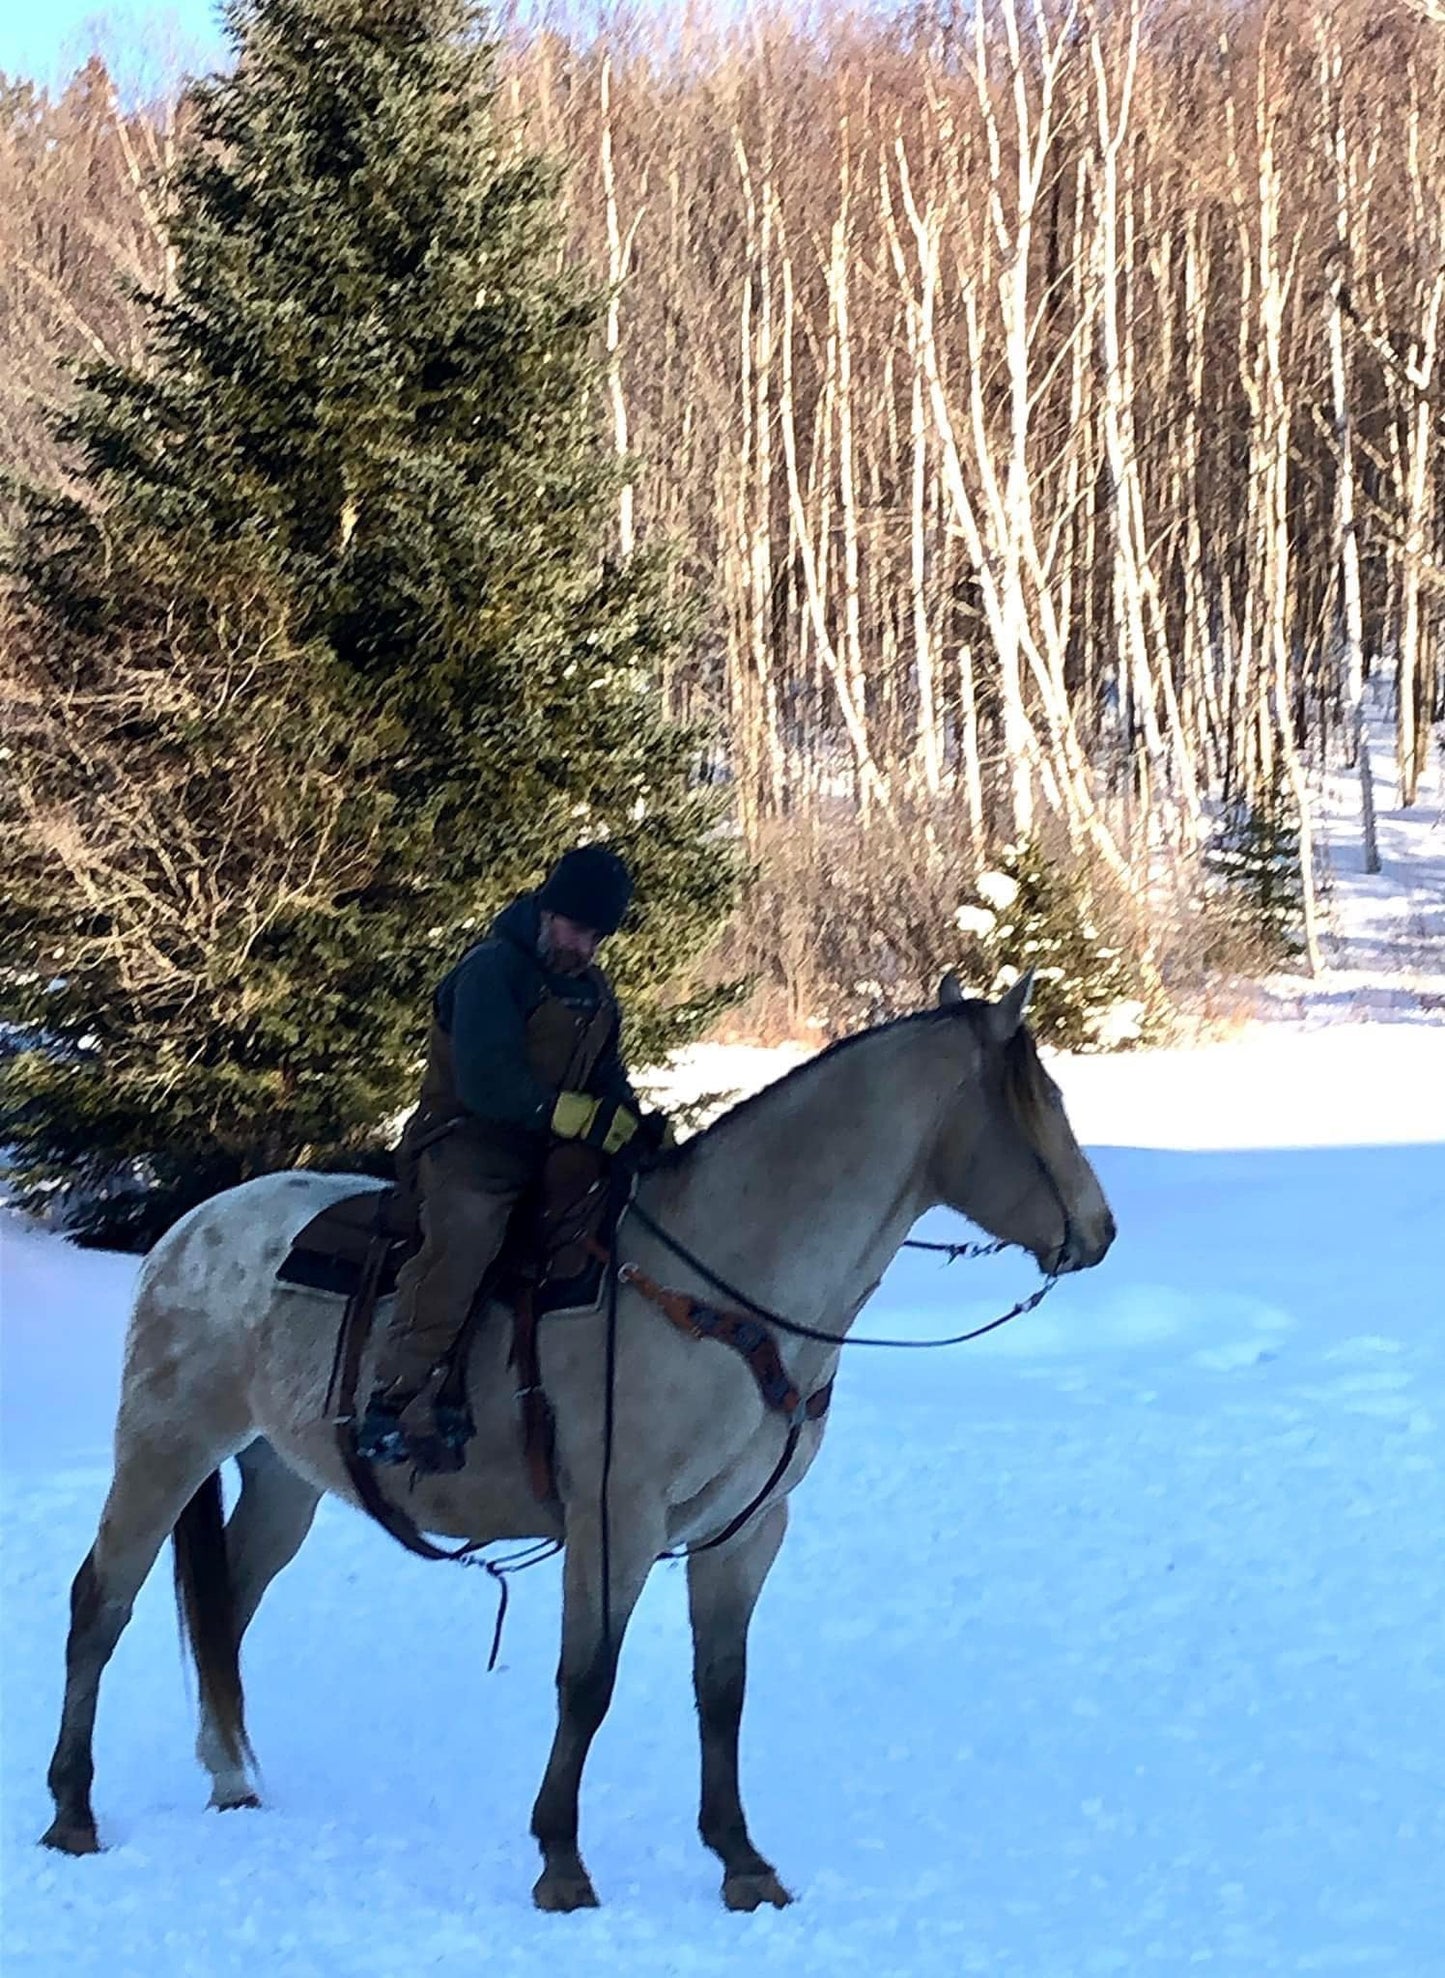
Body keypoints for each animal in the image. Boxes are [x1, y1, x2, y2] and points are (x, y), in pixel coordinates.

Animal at [39, 972, 1115, 1910]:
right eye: (1041, 1100)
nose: (1099, 1231)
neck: (726, 1291)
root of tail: (186, 1231)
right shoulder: (614, 1517)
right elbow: (586, 1683)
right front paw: (561, 1862)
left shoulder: (745, 1531)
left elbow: (721, 1690)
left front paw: (741, 1862)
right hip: (164, 1445)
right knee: (102, 1603)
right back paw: (72, 1810)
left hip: (282, 1479)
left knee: (227, 1604)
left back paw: (229, 1779)